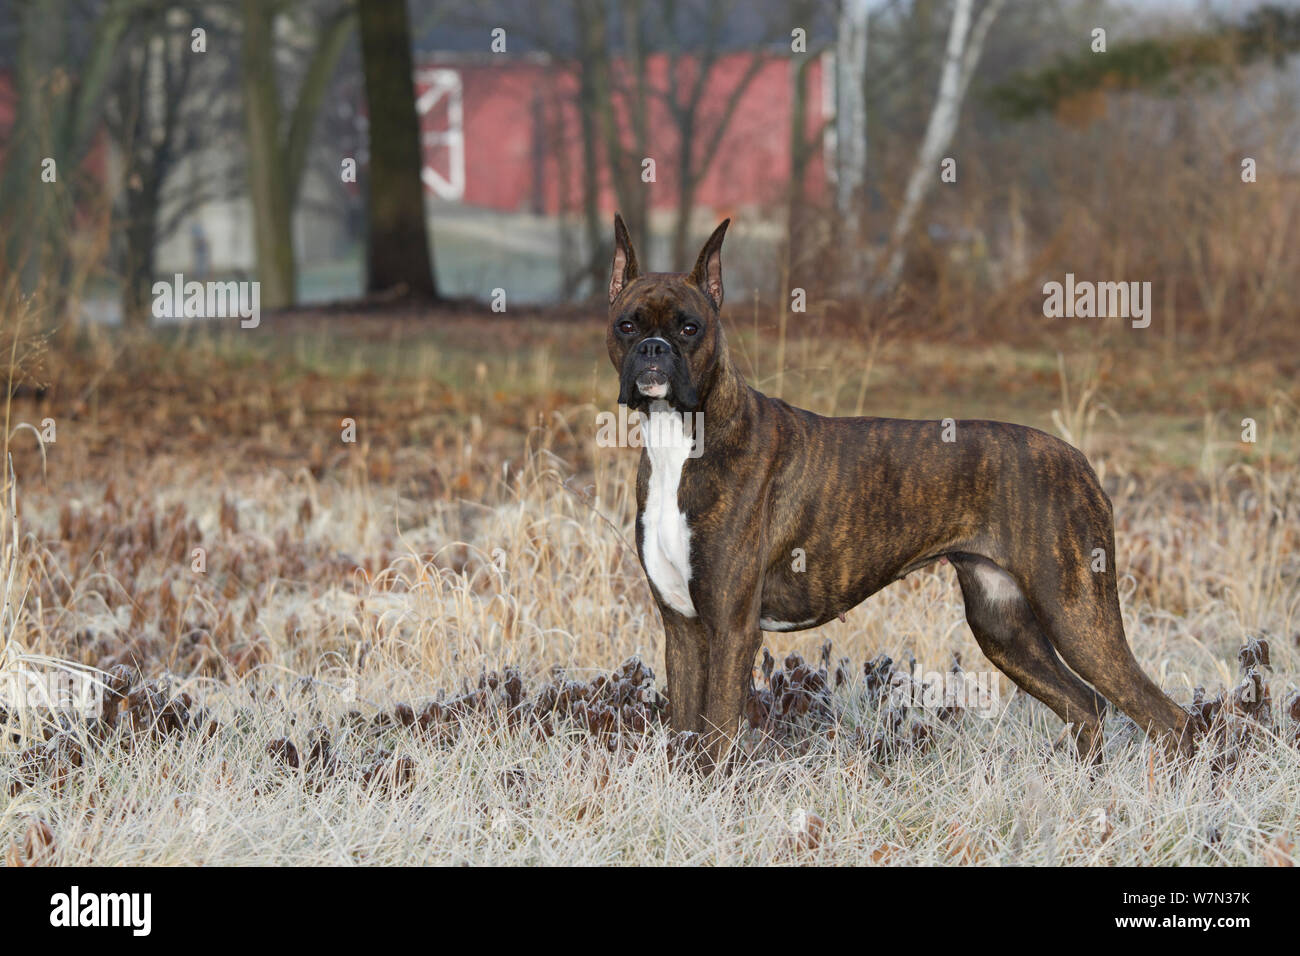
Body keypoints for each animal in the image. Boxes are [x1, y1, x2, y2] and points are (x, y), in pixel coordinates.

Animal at [608, 213, 1196, 764]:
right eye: (626, 325)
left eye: (689, 328)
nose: (654, 349)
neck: (679, 441)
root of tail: (1078, 460)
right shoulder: (683, 628)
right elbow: (686, 735)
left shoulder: (731, 629)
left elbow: (715, 738)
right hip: (1005, 627)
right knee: (1087, 706)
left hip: (1076, 617)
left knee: (1168, 719)